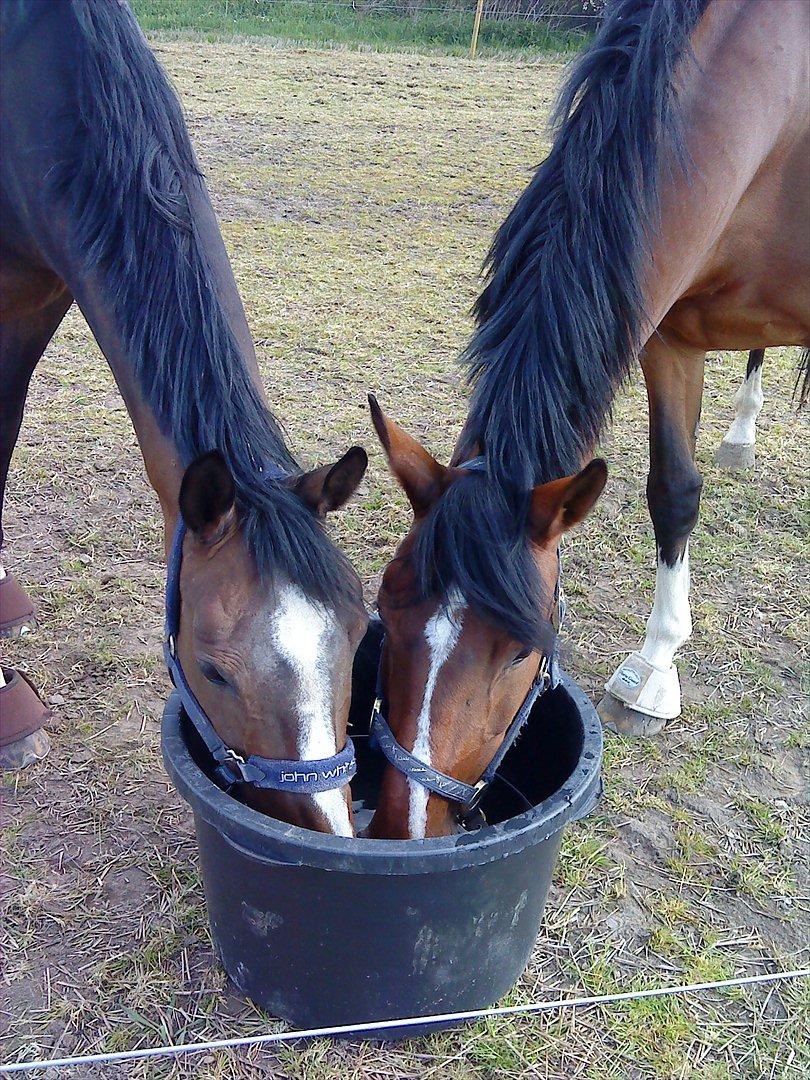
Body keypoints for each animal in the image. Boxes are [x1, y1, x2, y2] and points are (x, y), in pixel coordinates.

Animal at [369, 0, 810, 842]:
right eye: (385, 608)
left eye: (522, 652)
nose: (403, 829)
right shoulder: (666, 329)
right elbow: (674, 491)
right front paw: (658, 666)